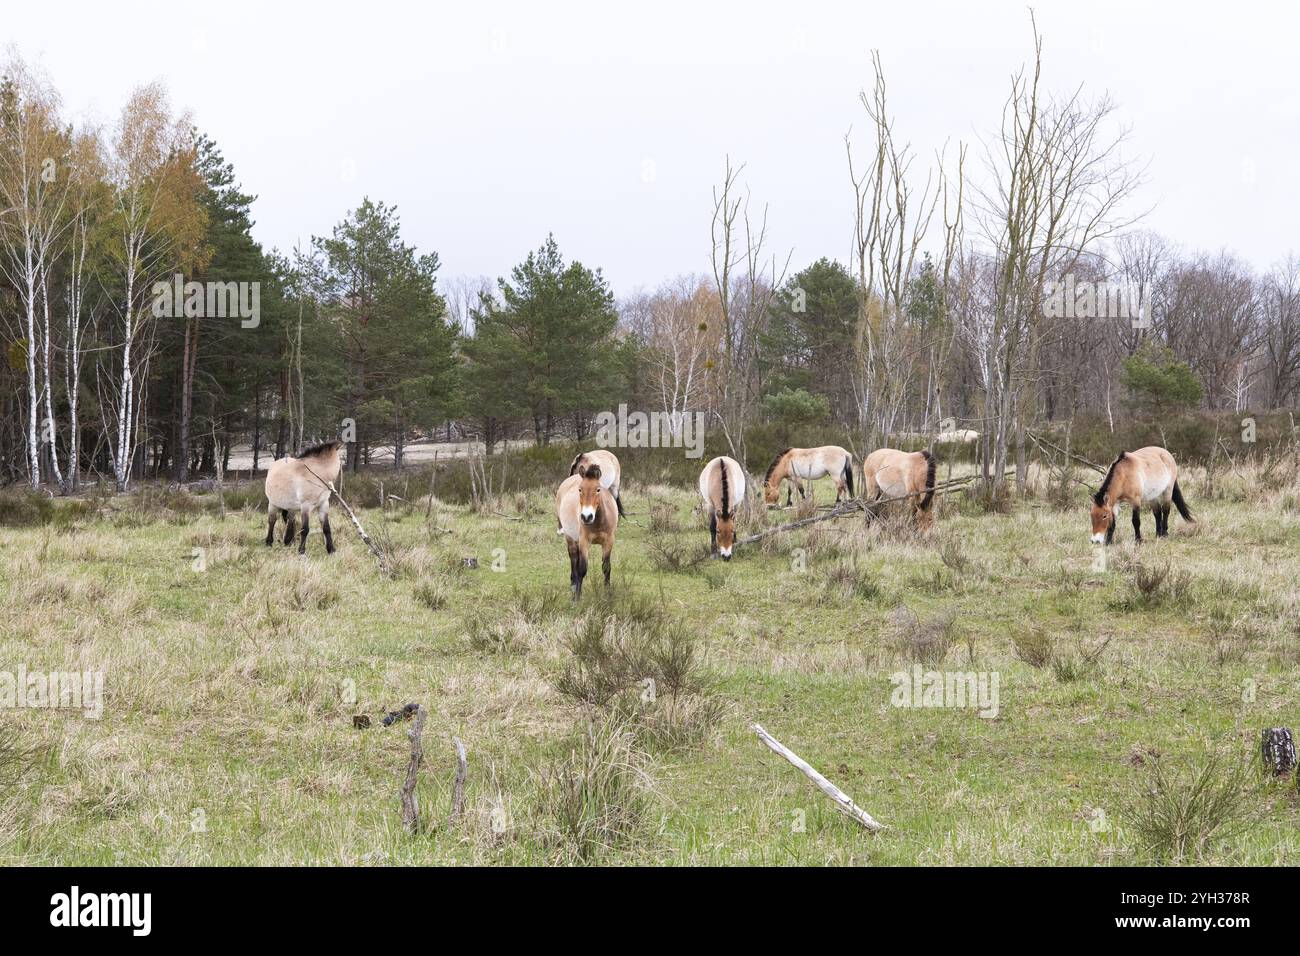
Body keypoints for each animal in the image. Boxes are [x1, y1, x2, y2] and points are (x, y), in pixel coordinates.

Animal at [556, 463, 619, 599]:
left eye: (598, 489)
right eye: (580, 489)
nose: (586, 517)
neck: (598, 522)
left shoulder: (609, 541)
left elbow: (606, 567)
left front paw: (608, 594)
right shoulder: (584, 541)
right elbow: (582, 569)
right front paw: (577, 598)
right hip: (570, 538)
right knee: (574, 558)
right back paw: (574, 585)